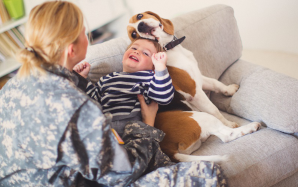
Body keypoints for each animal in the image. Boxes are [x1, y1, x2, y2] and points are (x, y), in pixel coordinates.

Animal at [127, 11, 260, 162]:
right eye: (134, 34)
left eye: (139, 16)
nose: (141, 26)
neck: (170, 48)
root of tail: (167, 150)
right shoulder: (194, 92)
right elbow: (214, 109)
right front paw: (227, 122)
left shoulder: (197, 78)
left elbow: (216, 83)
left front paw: (229, 89)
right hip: (199, 118)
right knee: (226, 135)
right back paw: (250, 127)